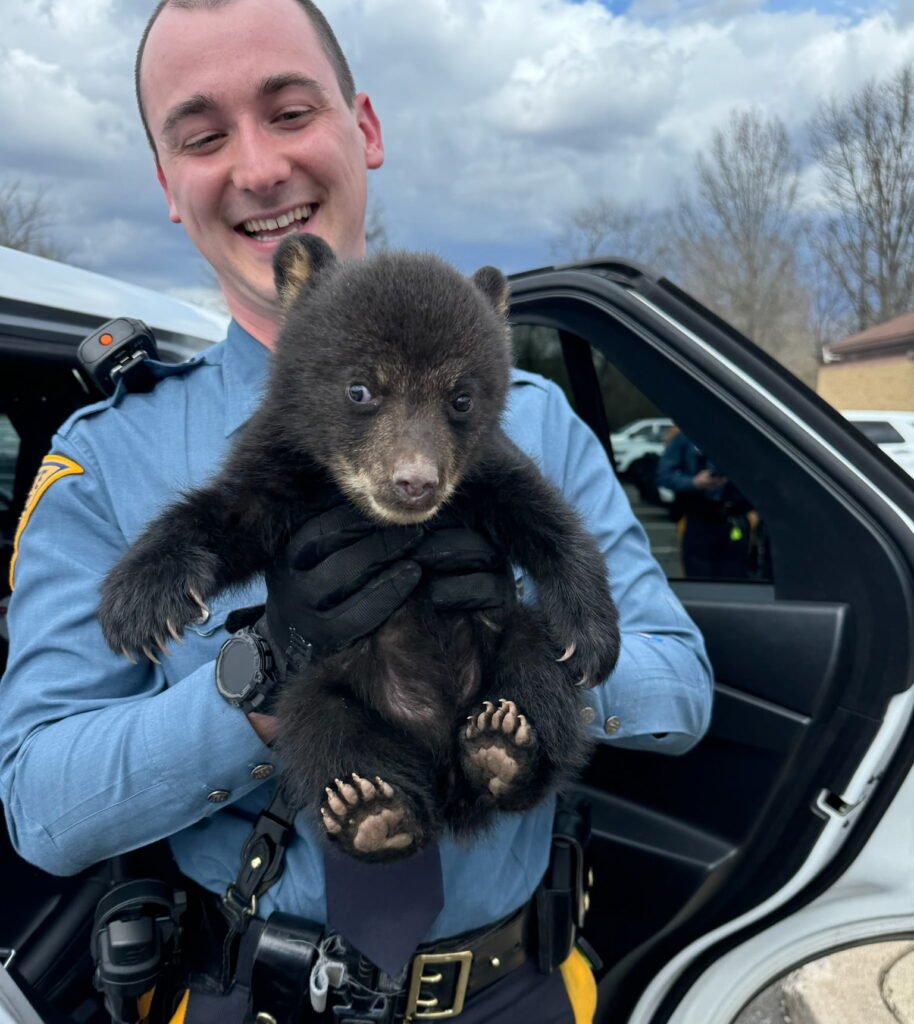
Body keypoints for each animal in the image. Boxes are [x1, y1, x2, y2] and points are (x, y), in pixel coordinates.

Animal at [97, 234, 620, 862]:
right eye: (360, 389)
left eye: (462, 398)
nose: (415, 482)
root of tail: (444, 772)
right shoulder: (282, 469)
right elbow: (227, 516)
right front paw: (139, 605)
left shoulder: (483, 473)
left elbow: (545, 516)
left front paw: (591, 638)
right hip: (323, 688)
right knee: (322, 731)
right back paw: (373, 812)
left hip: (510, 640)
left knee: (537, 677)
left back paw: (503, 747)